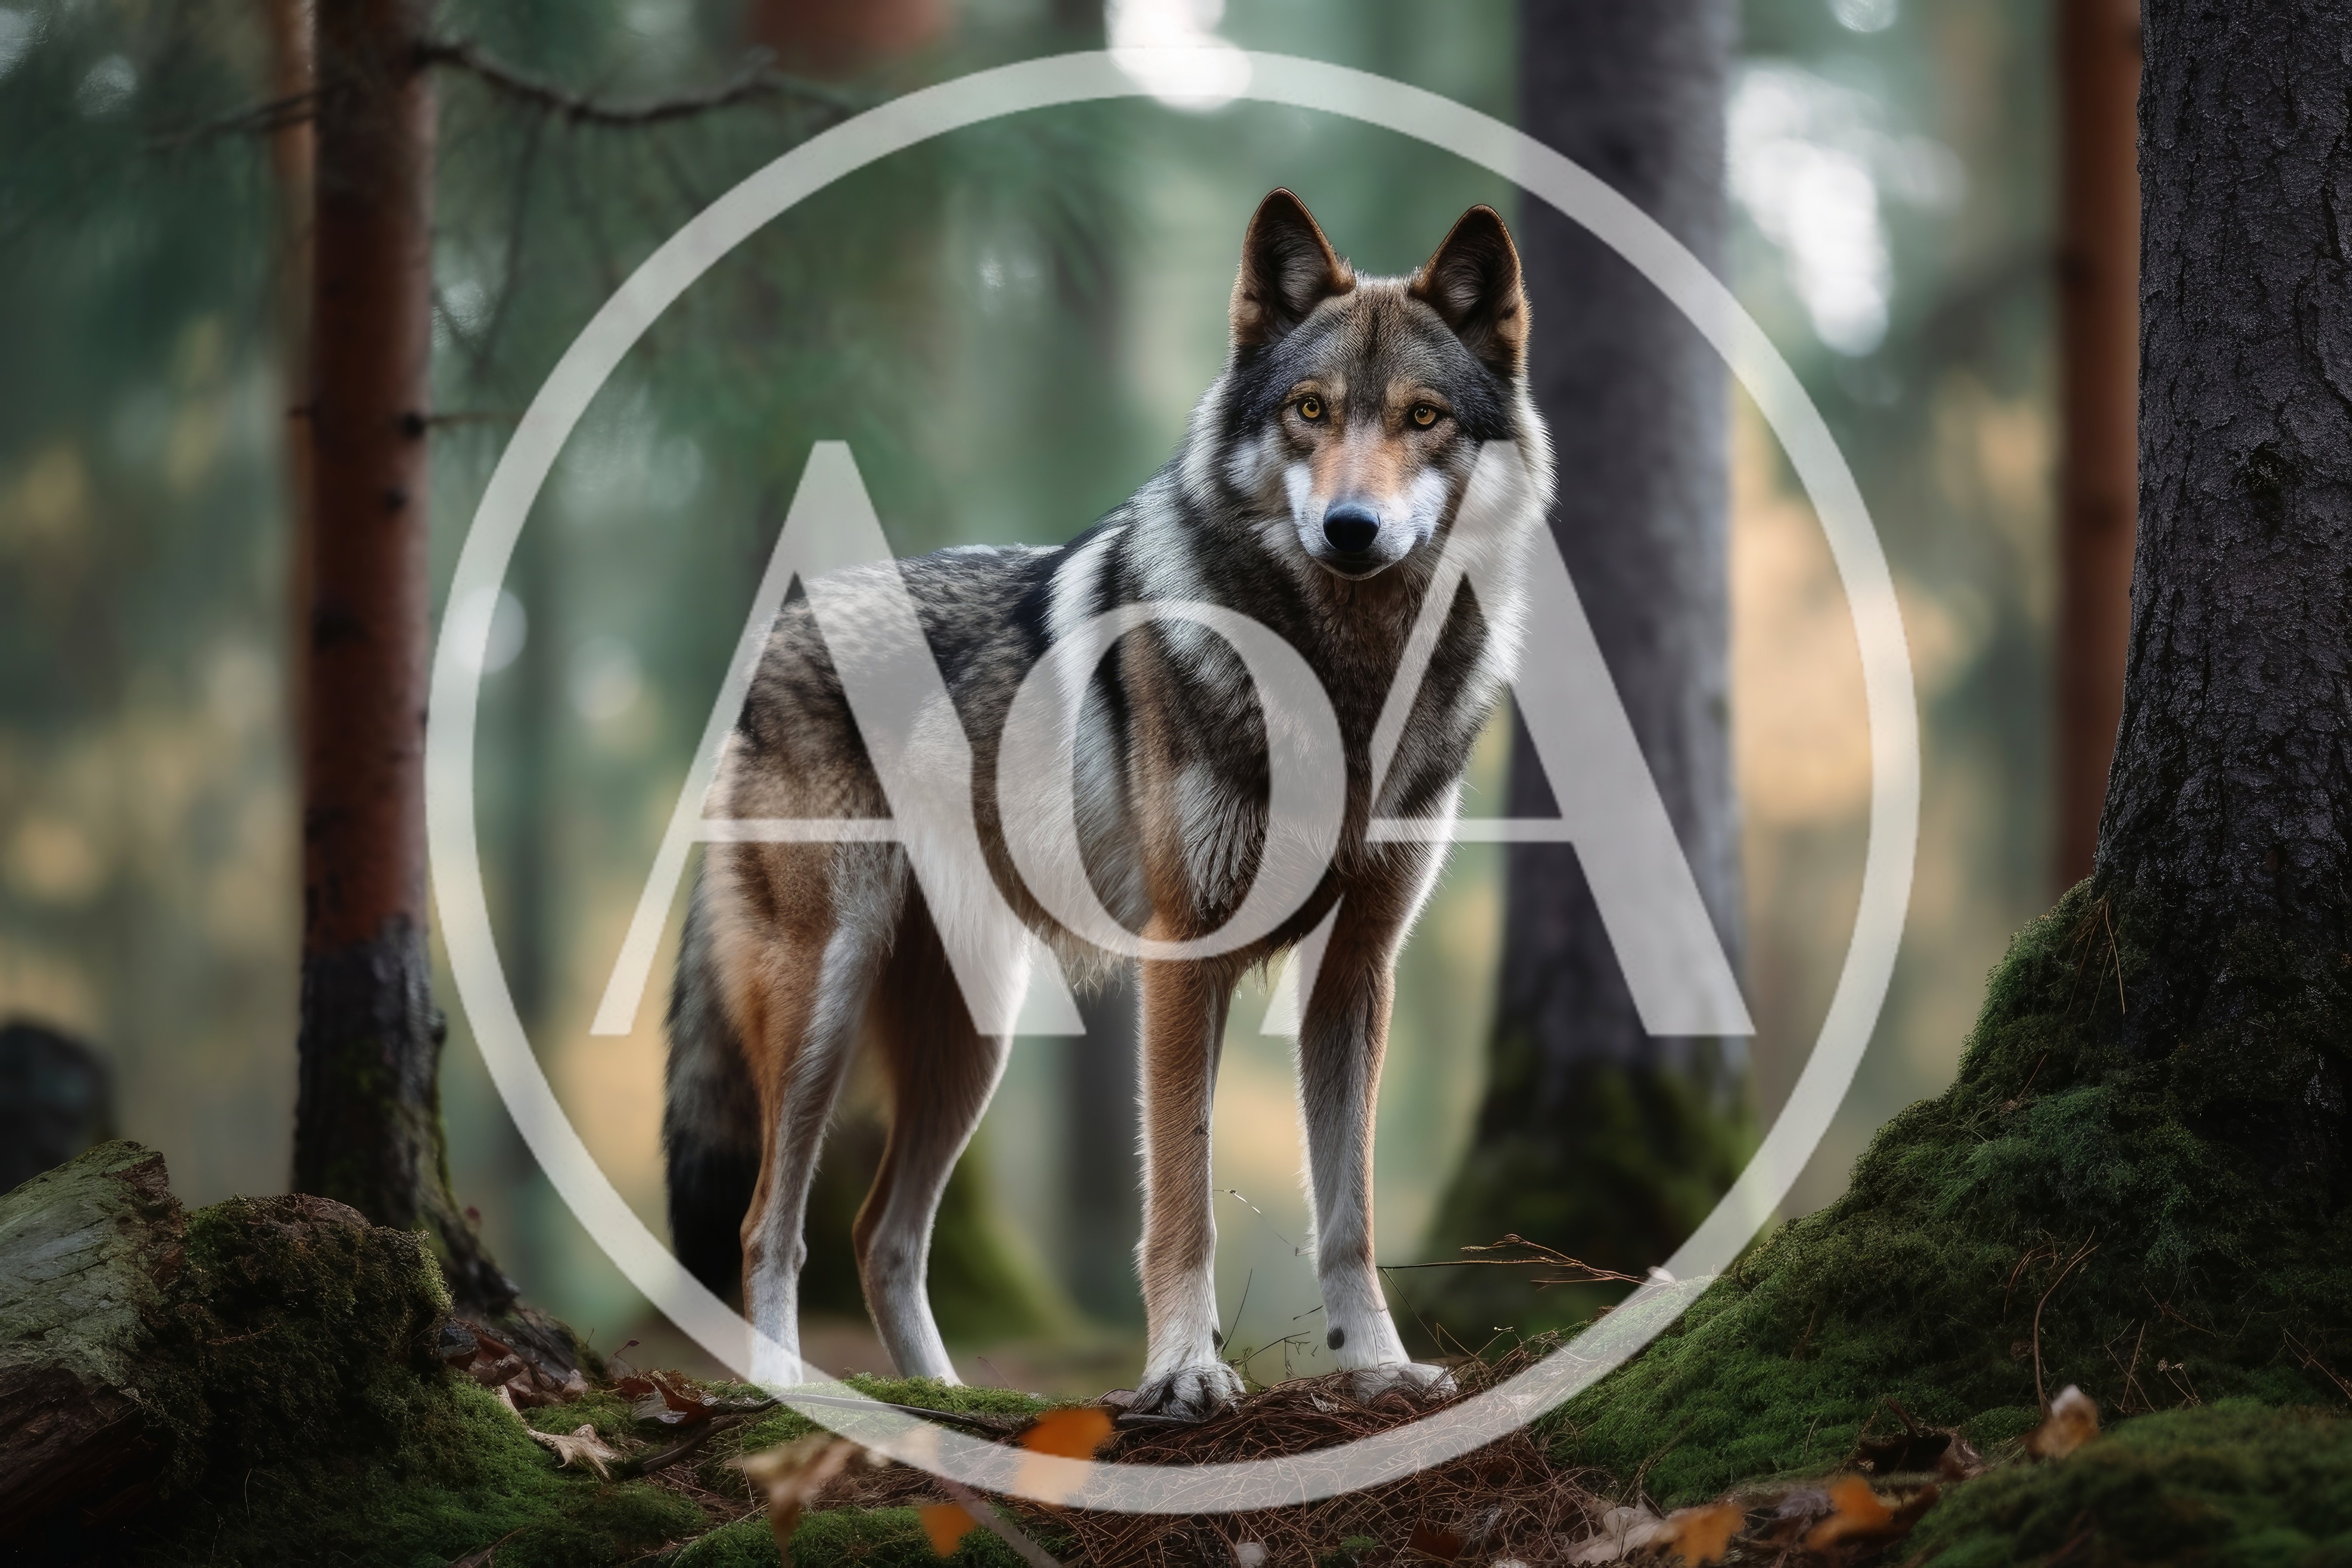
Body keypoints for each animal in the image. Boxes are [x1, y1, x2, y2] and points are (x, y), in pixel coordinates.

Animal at [663, 189, 1554, 1419]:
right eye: (1311, 411)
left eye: (1421, 417)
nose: (1350, 529)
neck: (1344, 681)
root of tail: (780, 624)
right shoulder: (1184, 958)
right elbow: (1179, 1199)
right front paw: (1183, 1373)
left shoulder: (1356, 970)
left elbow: (1353, 1215)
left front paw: (1377, 1369)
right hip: (823, 1003)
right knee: (769, 1225)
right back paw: (806, 1393)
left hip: (975, 1039)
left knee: (881, 1233)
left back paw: (958, 1404)